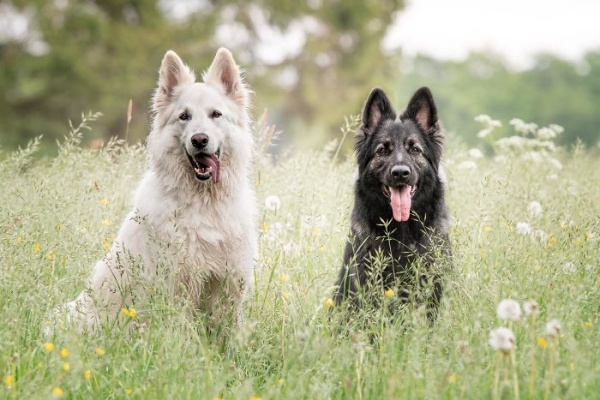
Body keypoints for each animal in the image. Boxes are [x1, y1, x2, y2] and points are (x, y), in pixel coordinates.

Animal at [48, 47, 258, 334]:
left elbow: (229, 330)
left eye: (216, 114)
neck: (205, 203)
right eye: (184, 116)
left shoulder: (229, 281)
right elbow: (182, 332)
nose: (199, 140)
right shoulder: (179, 286)